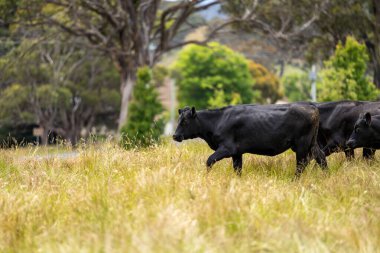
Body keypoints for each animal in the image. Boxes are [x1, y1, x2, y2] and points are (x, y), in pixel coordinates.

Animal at [174, 104, 328, 177]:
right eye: (179, 119)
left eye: (185, 121)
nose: (175, 136)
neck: (218, 120)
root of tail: (312, 107)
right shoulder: (237, 153)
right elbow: (237, 169)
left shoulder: (227, 148)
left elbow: (209, 160)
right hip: (312, 143)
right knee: (320, 157)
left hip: (302, 144)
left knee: (301, 164)